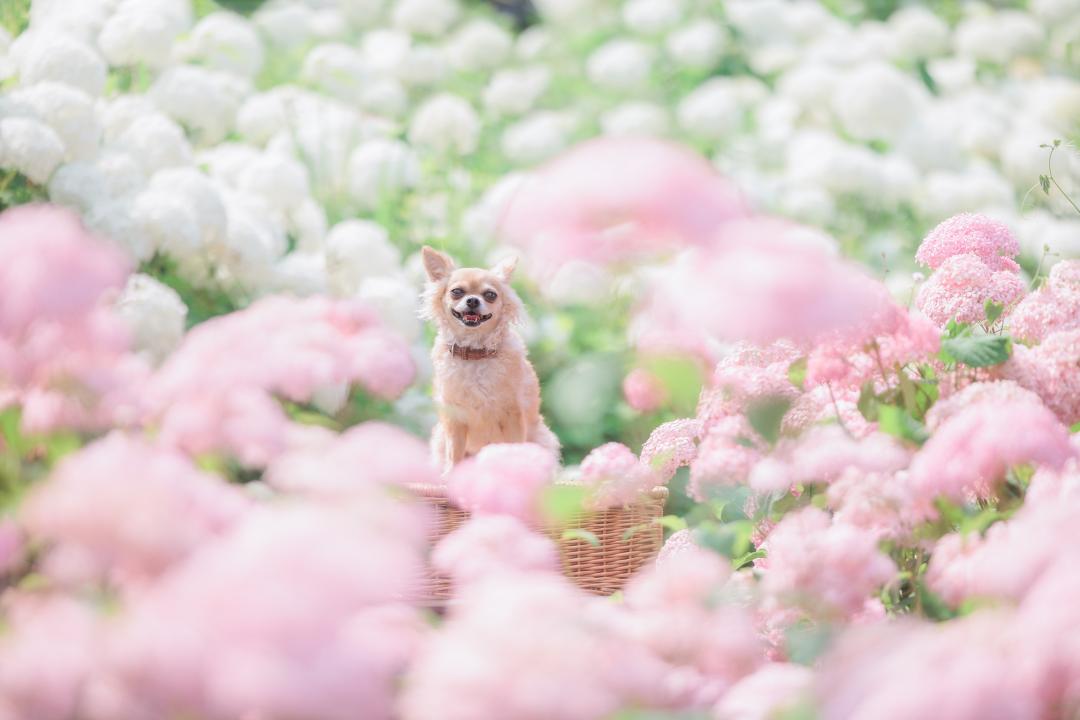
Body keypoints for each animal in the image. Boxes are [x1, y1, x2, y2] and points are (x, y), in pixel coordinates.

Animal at [416, 248, 561, 472]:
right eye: (456, 291)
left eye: (490, 295)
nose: (473, 300)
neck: (475, 352)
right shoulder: (455, 418)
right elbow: (454, 452)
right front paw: (451, 475)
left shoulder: (512, 416)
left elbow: (514, 448)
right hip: (439, 438)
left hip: (541, 438)